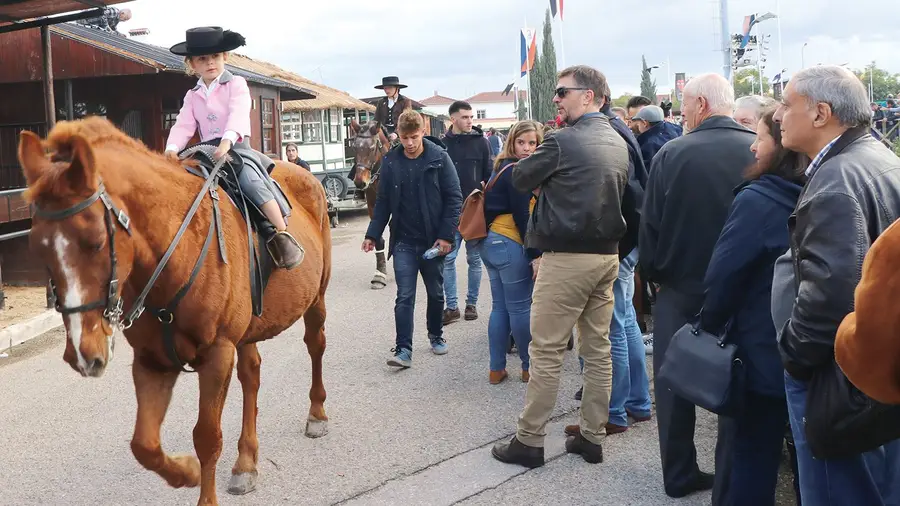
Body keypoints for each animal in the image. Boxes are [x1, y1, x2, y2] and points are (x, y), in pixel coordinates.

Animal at [18, 117, 330, 506]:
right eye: (38, 249)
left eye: (96, 242)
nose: (81, 352)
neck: (174, 253)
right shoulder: (152, 361)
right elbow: (144, 446)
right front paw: (186, 472)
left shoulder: (217, 354)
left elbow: (207, 437)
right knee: (252, 375)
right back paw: (246, 462)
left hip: (316, 299)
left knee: (315, 346)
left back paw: (317, 414)